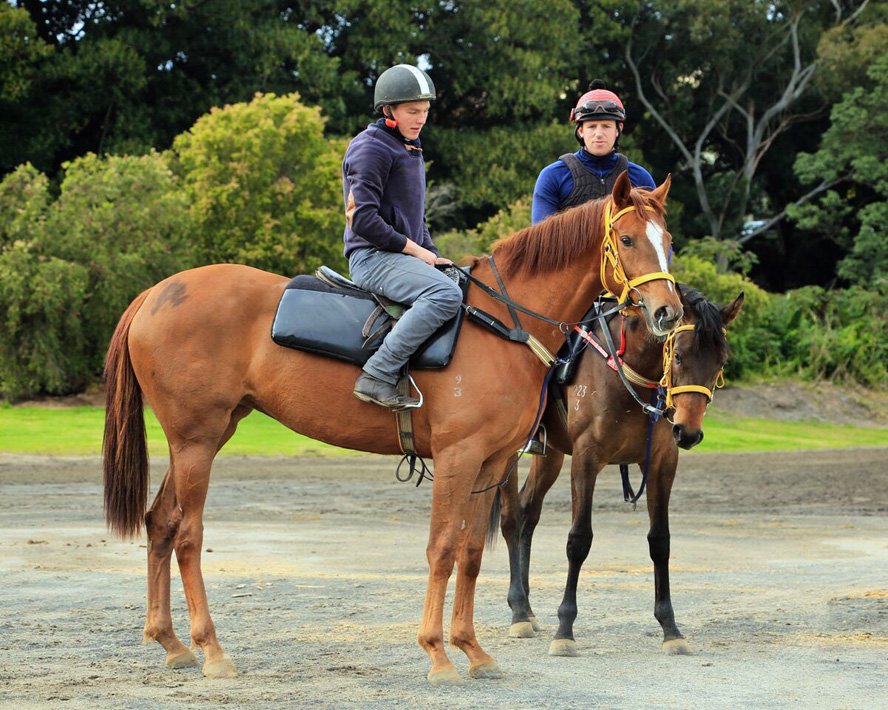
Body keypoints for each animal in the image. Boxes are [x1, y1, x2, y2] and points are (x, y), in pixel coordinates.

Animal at [102, 172, 683, 684]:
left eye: (669, 242)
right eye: (627, 239)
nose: (668, 313)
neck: (502, 324)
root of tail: (156, 293)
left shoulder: (491, 463)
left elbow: (472, 552)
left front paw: (473, 650)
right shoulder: (457, 457)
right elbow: (442, 548)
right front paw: (438, 654)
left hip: (203, 438)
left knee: (160, 523)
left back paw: (172, 643)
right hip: (197, 441)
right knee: (188, 536)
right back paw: (211, 650)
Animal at [498, 285, 744, 656]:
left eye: (721, 362)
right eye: (679, 356)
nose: (688, 432)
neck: (627, 368)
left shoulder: (661, 462)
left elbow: (660, 541)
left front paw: (670, 628)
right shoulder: (586, 458)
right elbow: (579, 540)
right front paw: (565, 629)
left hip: (550, 453)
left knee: (528, 511)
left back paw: (525, 608)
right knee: (512, 517)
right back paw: (518, 611)